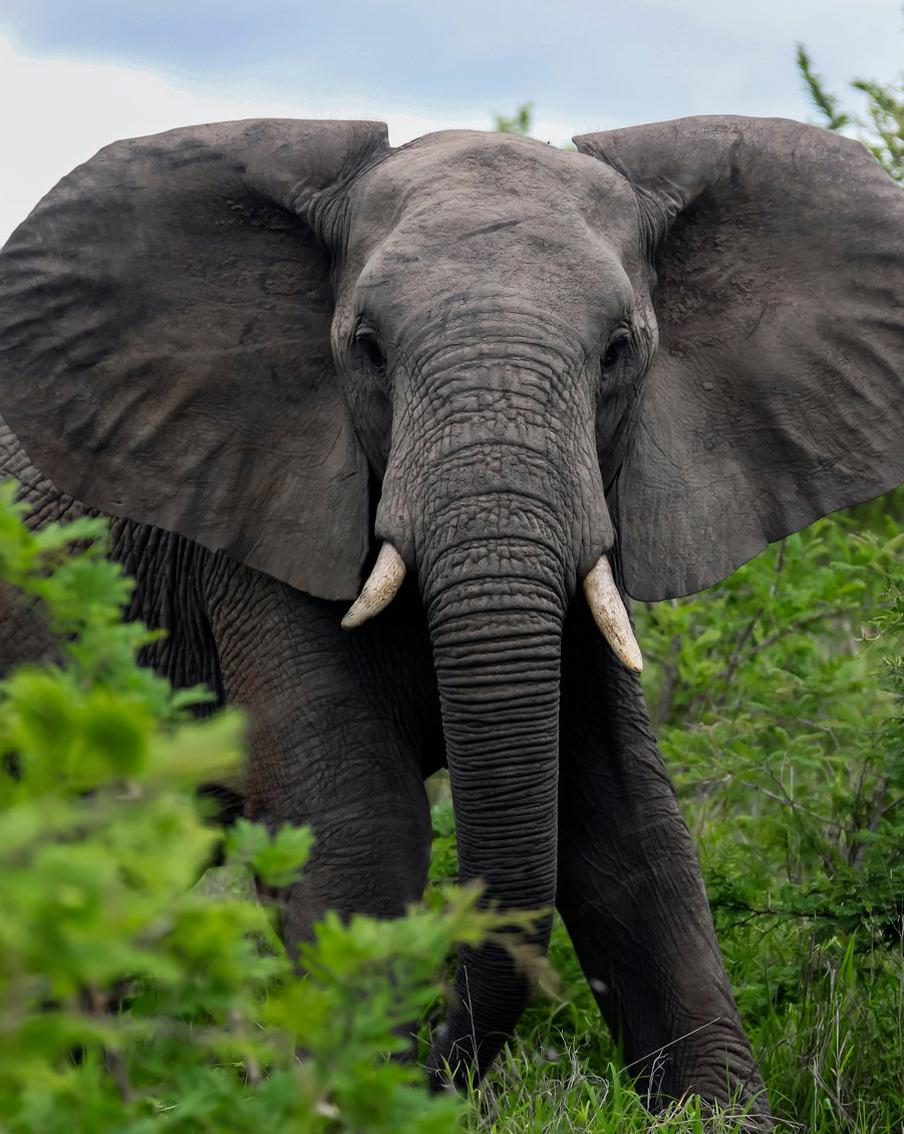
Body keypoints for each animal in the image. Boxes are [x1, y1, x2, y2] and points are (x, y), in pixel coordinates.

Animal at [1, 114, 903, 1125]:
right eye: (366, 348)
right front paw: (361, 1097)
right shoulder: (252, 535)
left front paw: (719, 1119)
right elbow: (362, 826)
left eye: (620, 351)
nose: (443, 1076)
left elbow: (631, 829)